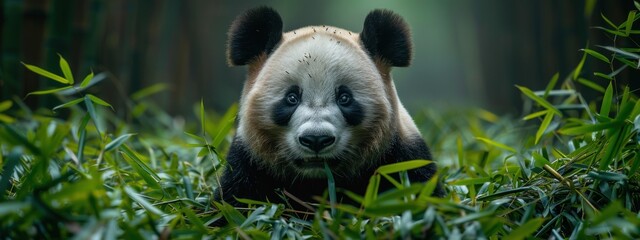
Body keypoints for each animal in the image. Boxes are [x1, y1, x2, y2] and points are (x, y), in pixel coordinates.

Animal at [218, 6, 442, 207]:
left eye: (344, 98)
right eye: (292, 98)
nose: (316, 139)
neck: (319, 181)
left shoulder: (402, 159)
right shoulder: (249, 165)